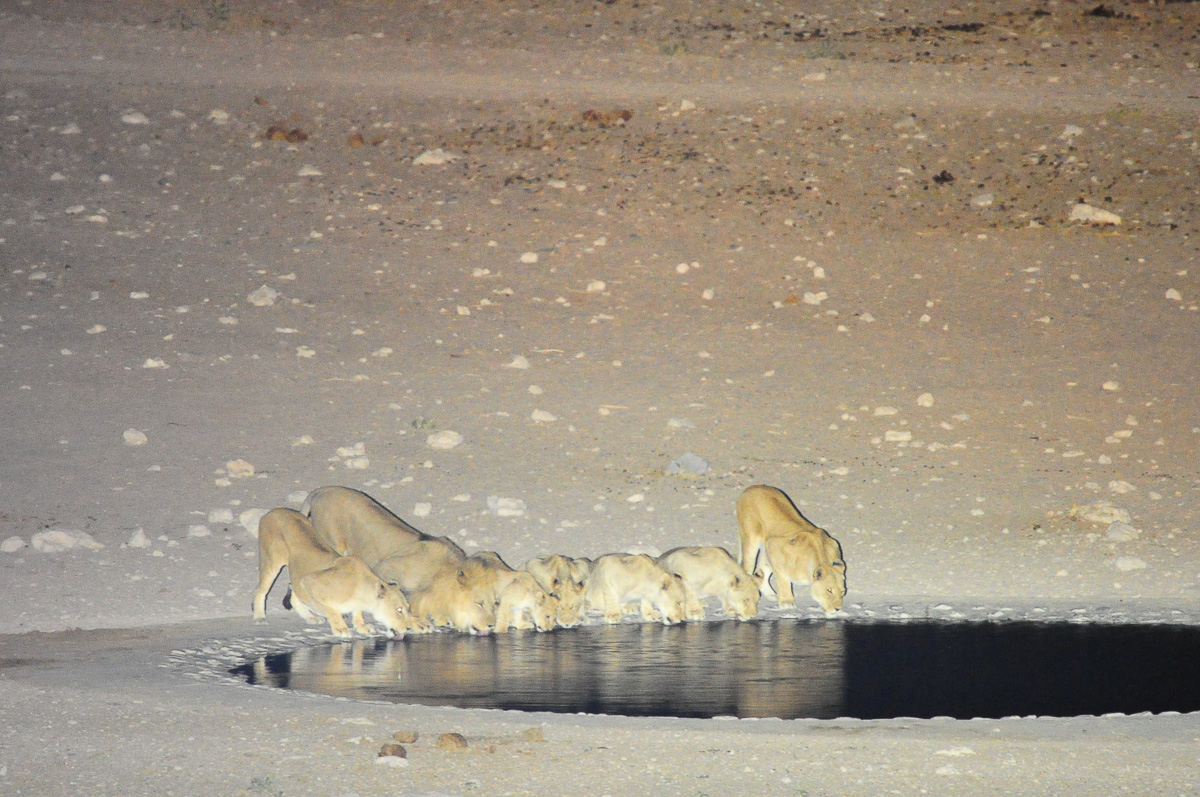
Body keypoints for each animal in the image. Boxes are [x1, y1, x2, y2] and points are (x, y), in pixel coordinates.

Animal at [252, 507, 414, 637]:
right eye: (399, 610)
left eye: (407, 608)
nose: (408, 628)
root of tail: (275, 510)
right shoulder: (310, 581)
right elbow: (332, 611)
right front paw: (341, 629)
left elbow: (357, 612)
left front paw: (361, 627)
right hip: (271, 561)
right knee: (261, 590)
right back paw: (259, 617)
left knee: (294, 594)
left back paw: (311, 617)